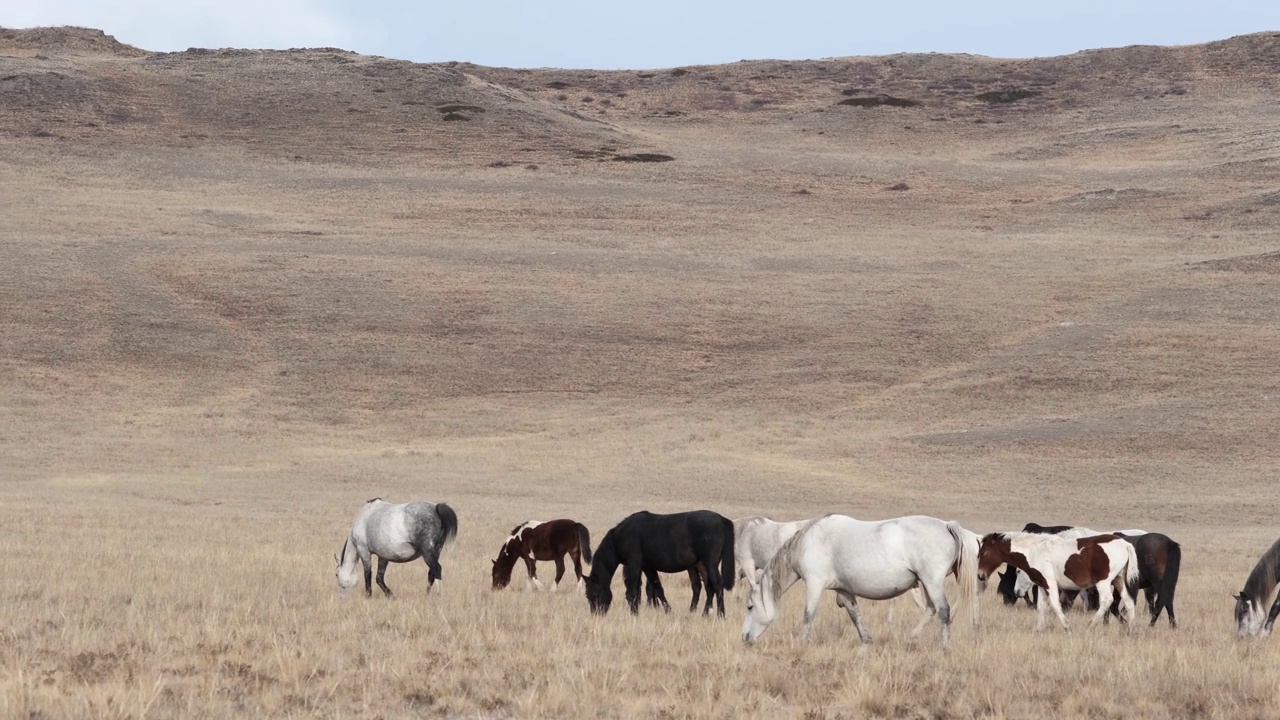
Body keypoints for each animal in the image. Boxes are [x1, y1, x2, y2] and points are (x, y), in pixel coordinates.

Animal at [586, 507, 737, 614]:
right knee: (709, 587)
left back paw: (721, 614)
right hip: (702, 565)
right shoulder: (647, 567)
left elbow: (633, 590)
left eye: (594, 594)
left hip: (710, 563)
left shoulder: (633, 564)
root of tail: (721, 519)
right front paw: (668, 611)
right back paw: (704, 614)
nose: (596, 614)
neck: (619, 537)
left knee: (717, 585)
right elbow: (657, 588)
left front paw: (634, 613)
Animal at [742, 509, 977, 645]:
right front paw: (866, 640)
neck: (810, 542)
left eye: (750, 607)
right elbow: (854, 614)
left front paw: (800, 642)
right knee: (931, 608)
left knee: (943, 611)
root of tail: (947, 525)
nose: (745, 638)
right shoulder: (843, 589)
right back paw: (913, 635)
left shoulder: (815, 584)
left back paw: (944, 647)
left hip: (932, 581)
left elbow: (808, 615)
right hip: (927, 583)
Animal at [977, 530, 1141, 630]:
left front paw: (1067, 627)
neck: (1035, 551)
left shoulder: (1050, 583)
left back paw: (1090, 626)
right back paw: (1131, 629)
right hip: (1119, 580)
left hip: (1104, 582)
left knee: (1107, 601)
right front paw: (1038, 629)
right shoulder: (1042, 585)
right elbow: (1041, 606)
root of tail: (1125, 544)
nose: (980, 575)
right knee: (1128, 601)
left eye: (983, 552)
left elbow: (1055, 605)